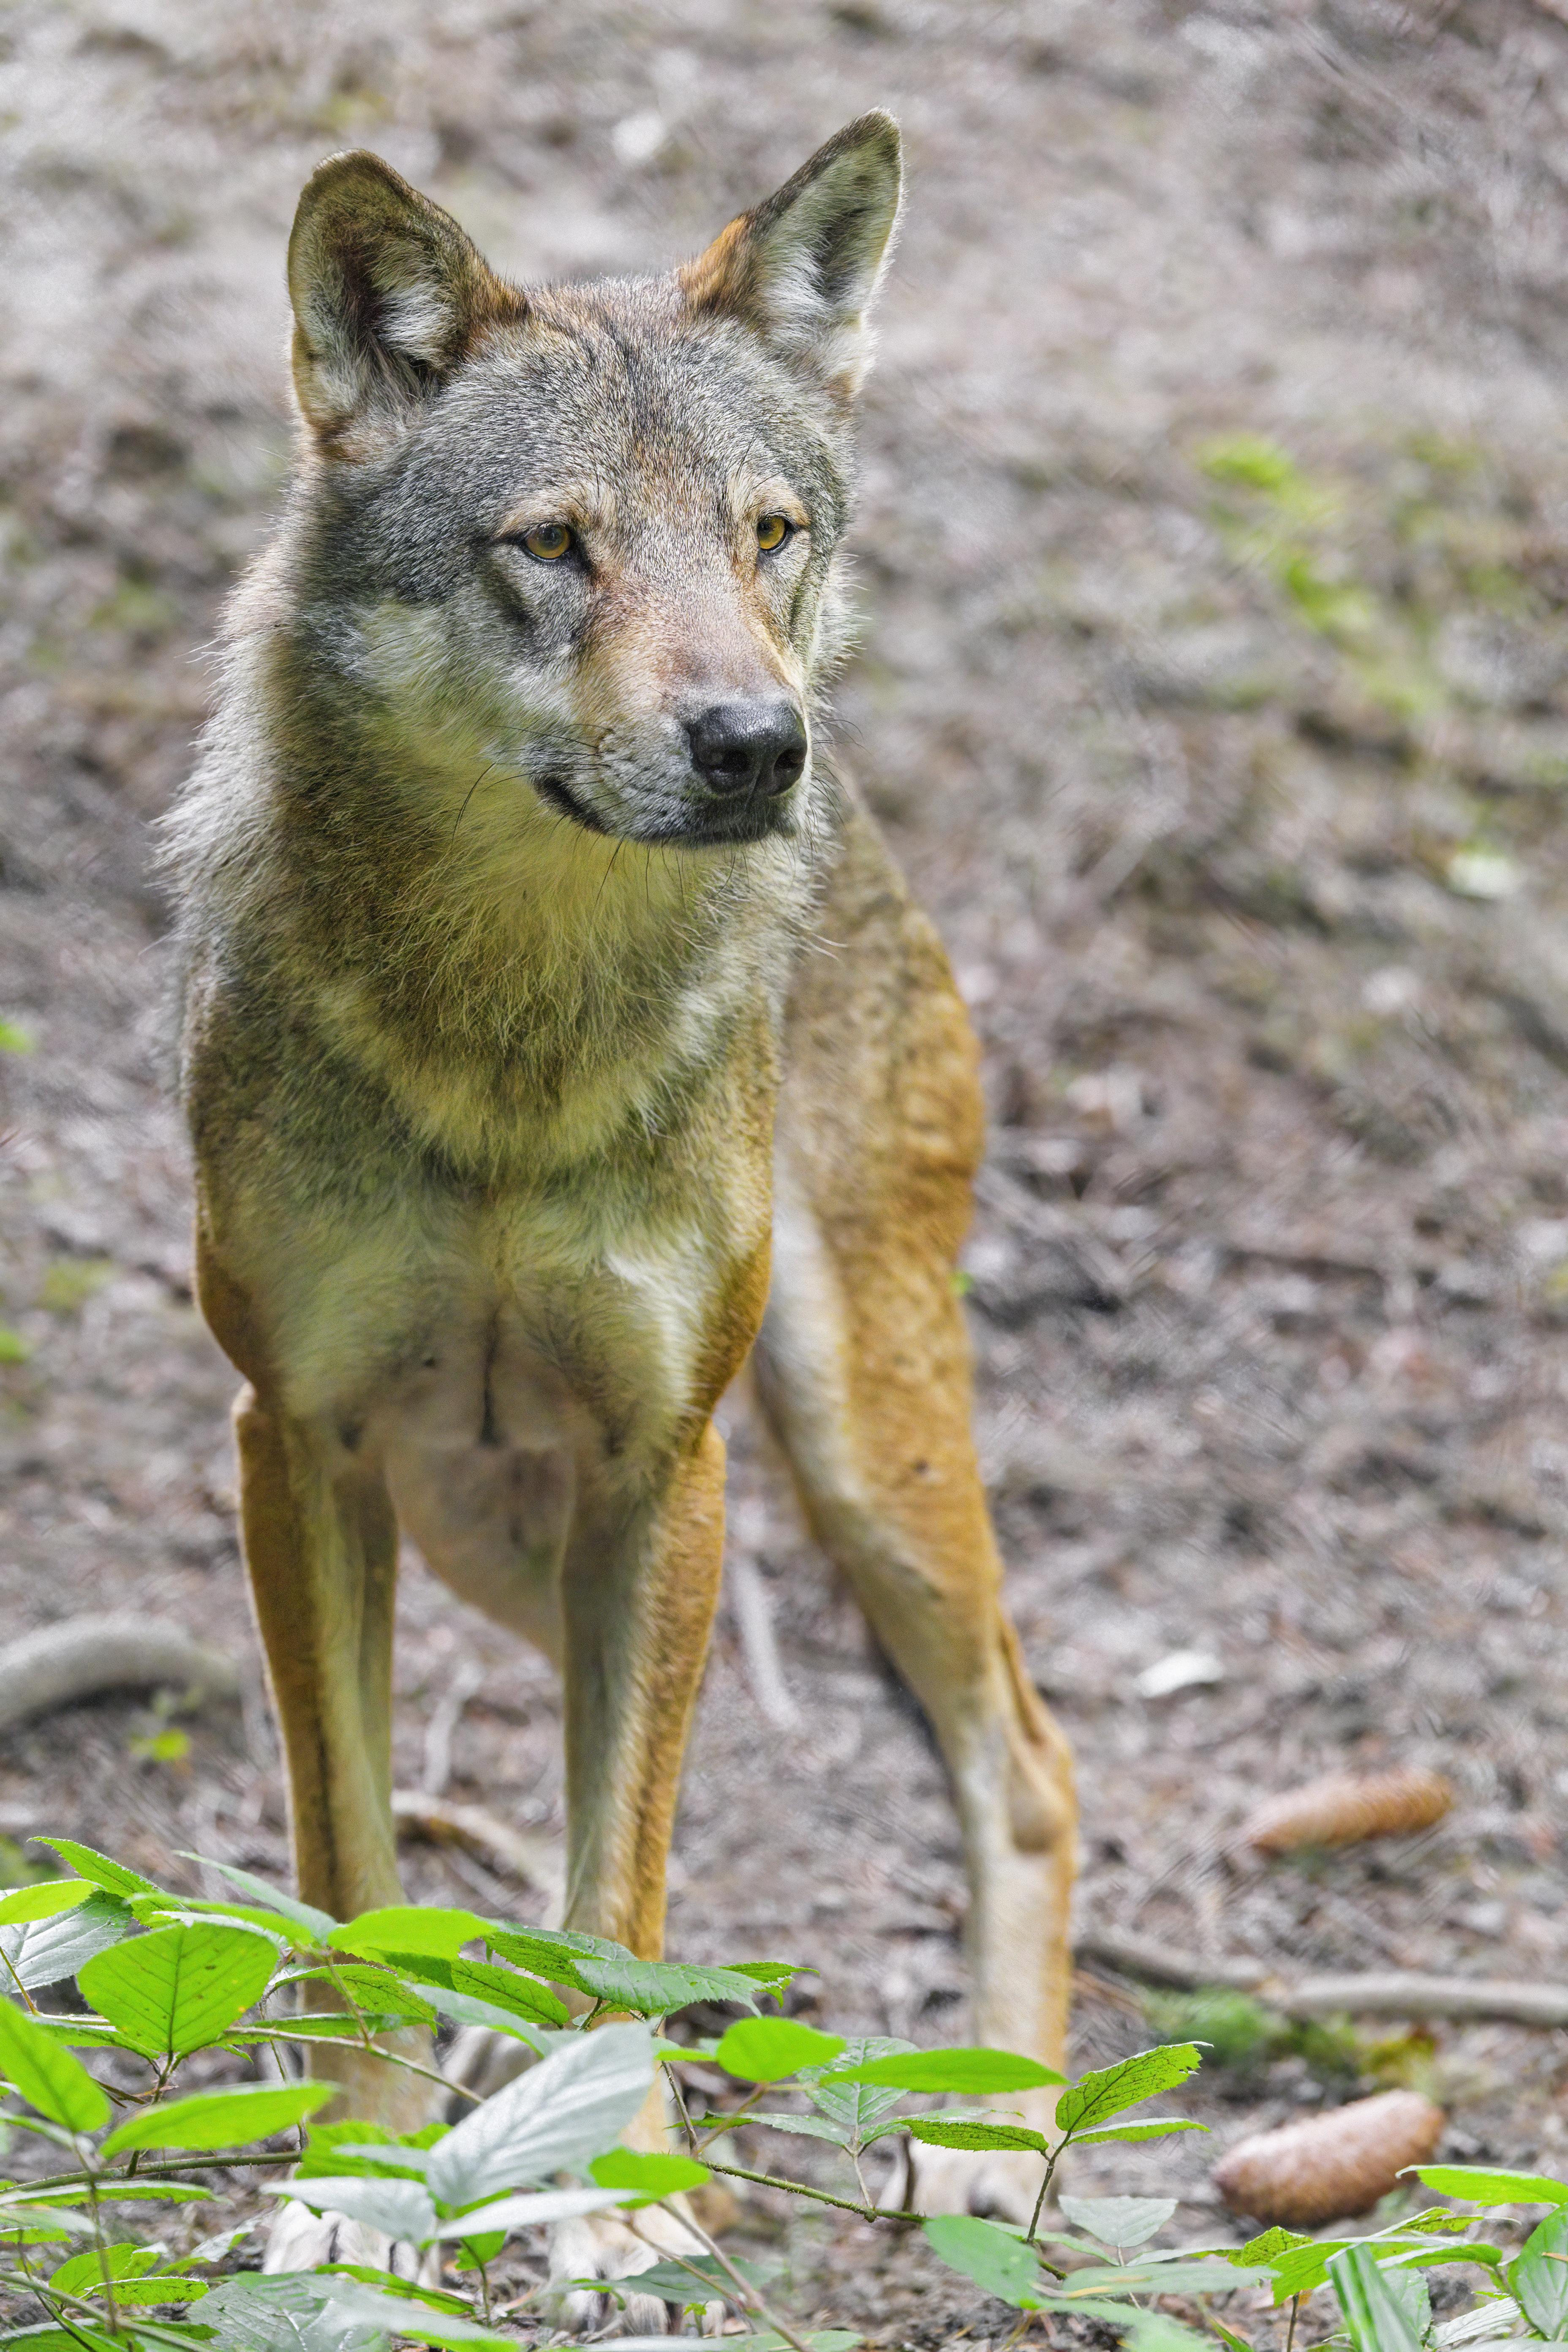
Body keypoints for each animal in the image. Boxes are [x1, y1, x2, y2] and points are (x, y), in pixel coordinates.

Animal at [169, 110, 1081, 2295]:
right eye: (556, 545)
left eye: (766, 534)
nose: (754, 742)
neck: (514, 1042)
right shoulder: (294, 1442)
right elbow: (354, 1862)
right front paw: (354, 2176)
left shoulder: (668, 1461)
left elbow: (620, 1890)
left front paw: (622, 2190)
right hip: (499, 1517)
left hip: (847, 1447)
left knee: (1028, 1760)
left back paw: (1008, 2143)